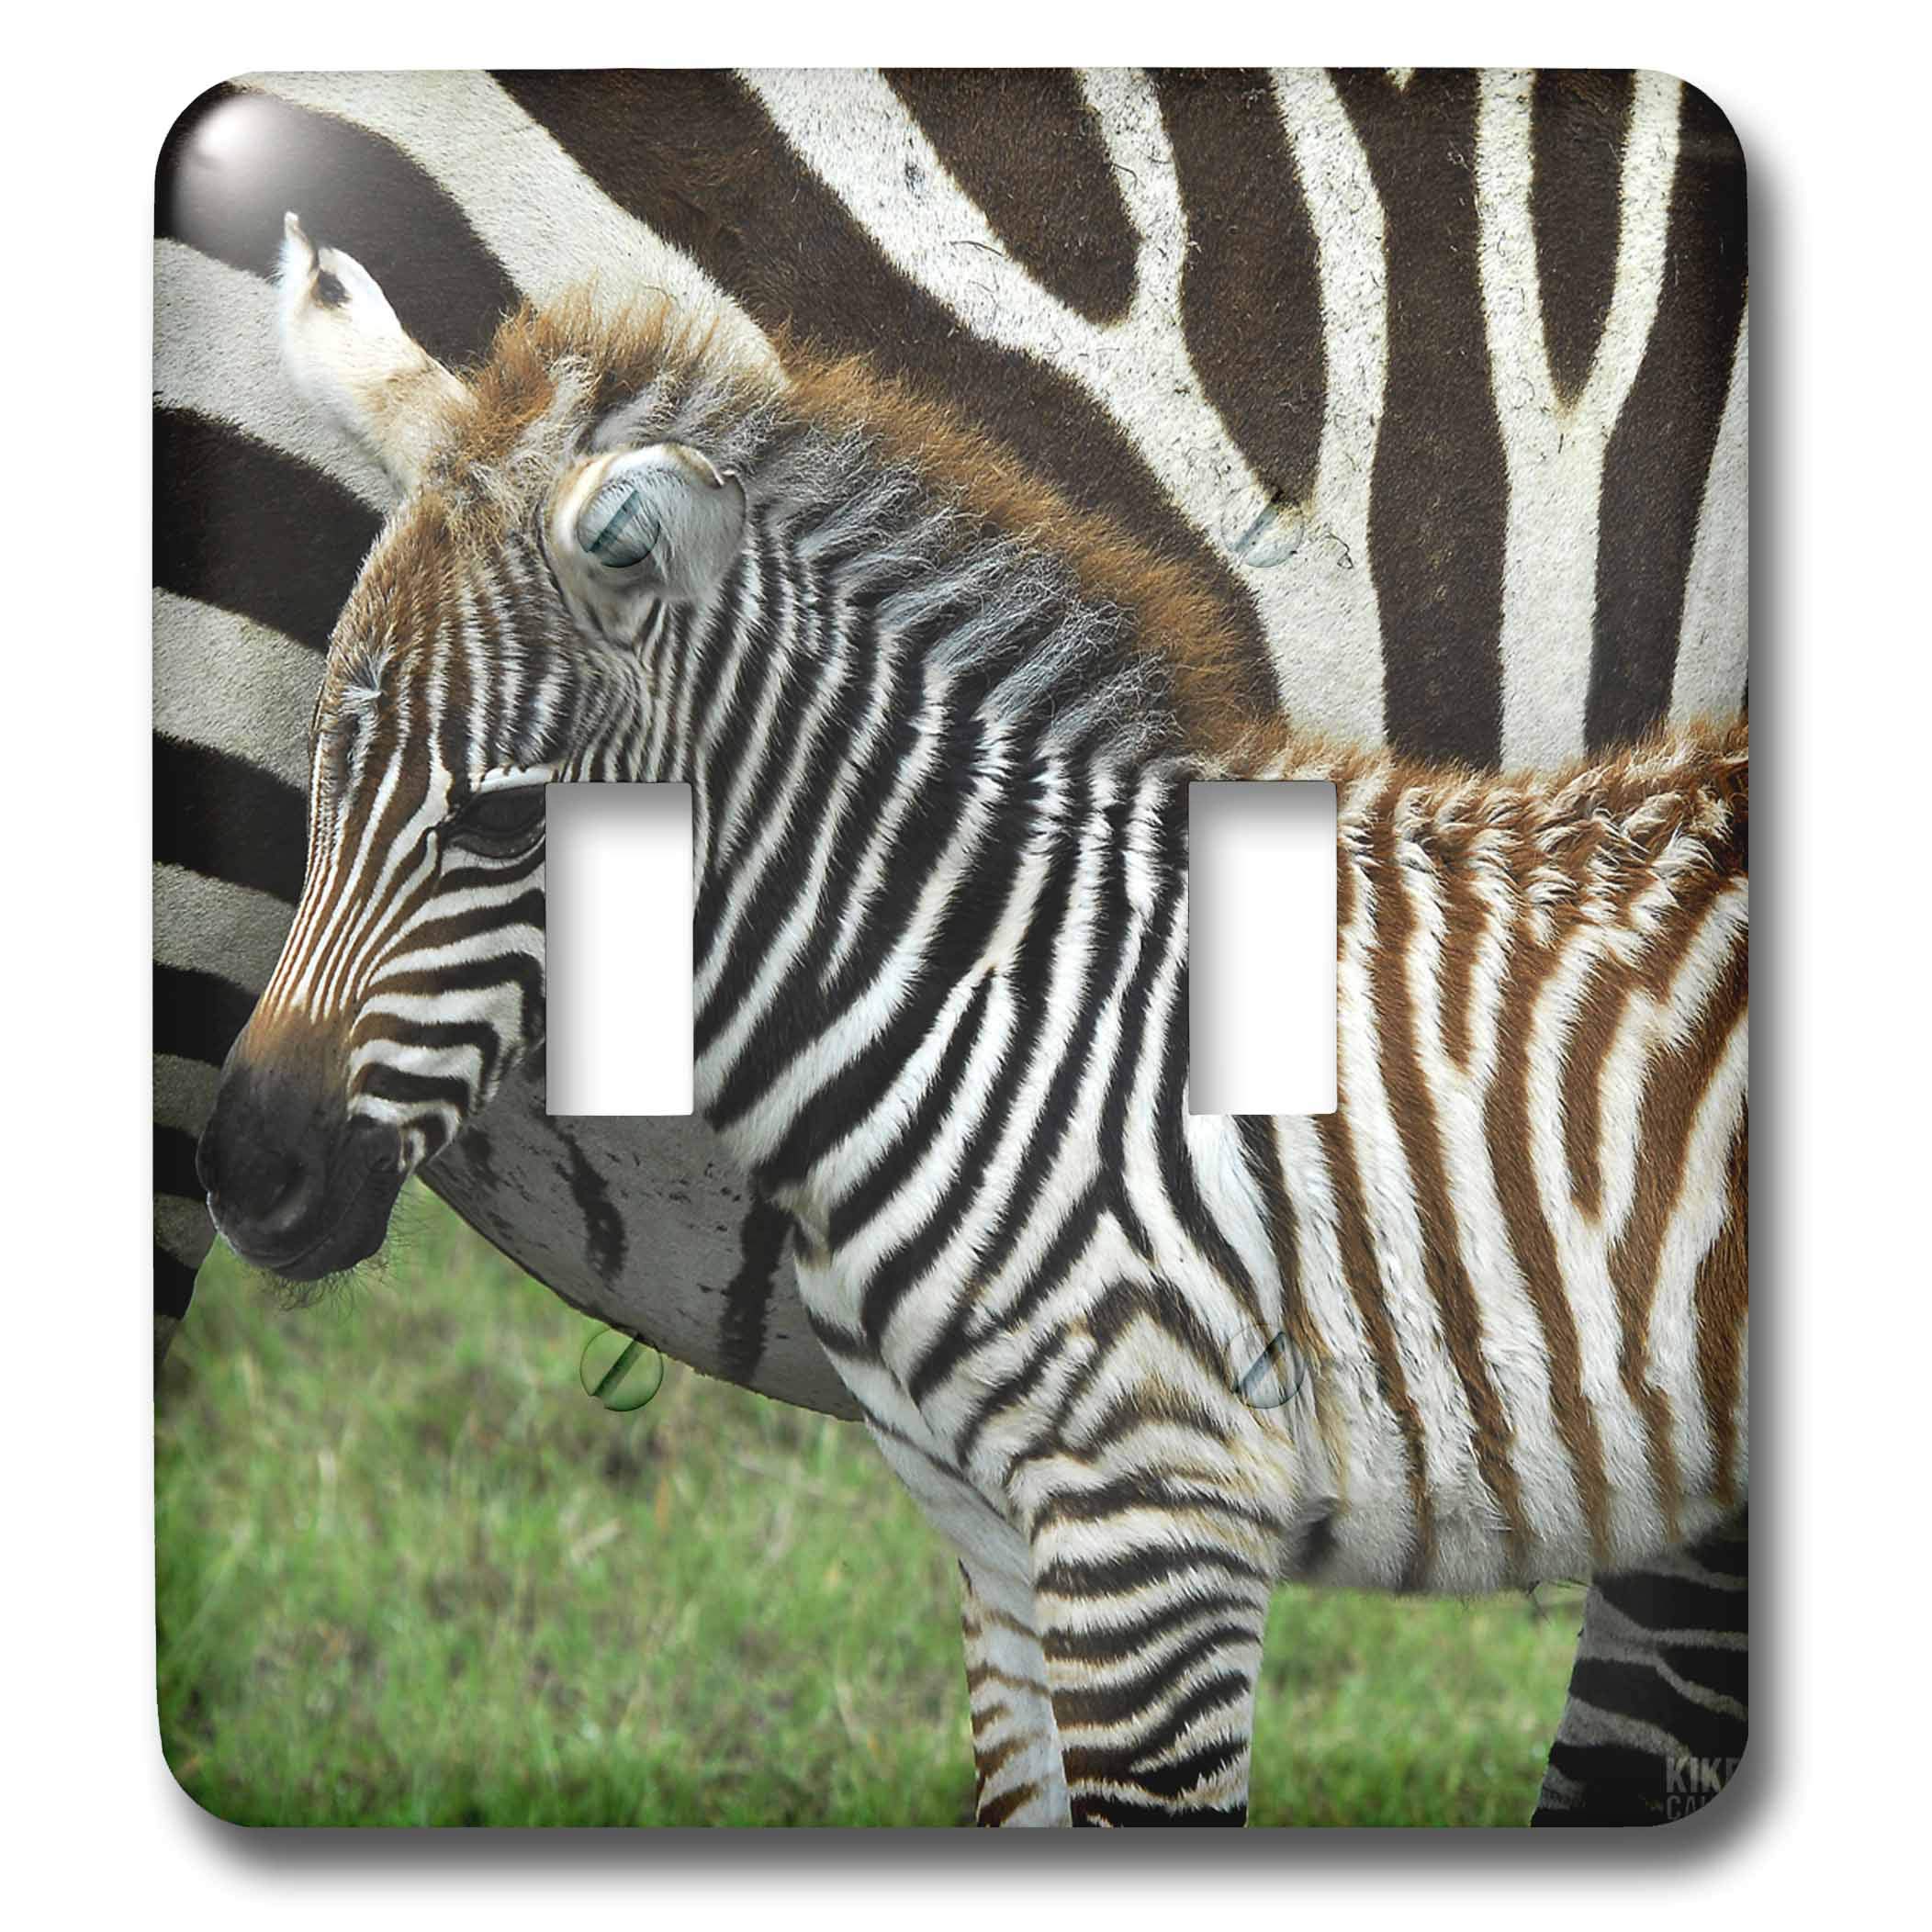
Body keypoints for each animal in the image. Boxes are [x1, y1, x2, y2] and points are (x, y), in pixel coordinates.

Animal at [157, 69, 1748, 1823]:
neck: (987, 986)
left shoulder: (1150, 1518)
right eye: (319, 767)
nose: (258, 1171)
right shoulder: (1055, 1530)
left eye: (506, 825)